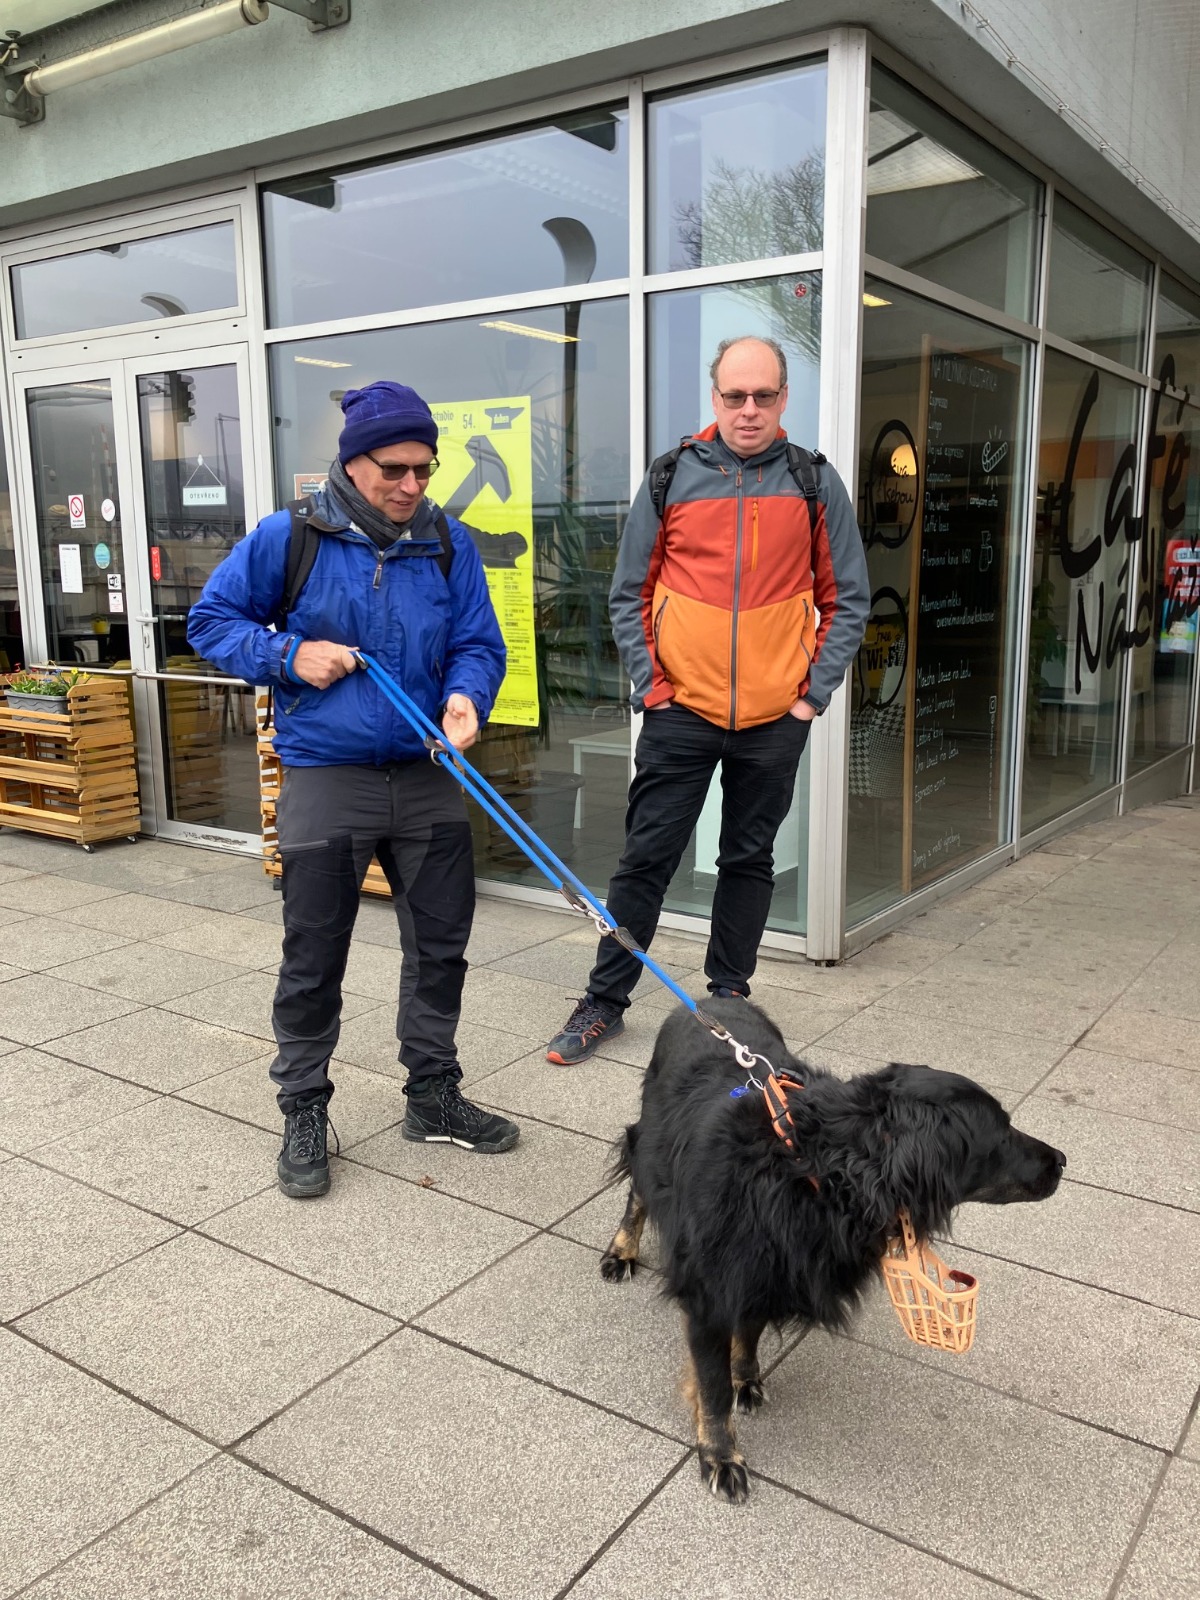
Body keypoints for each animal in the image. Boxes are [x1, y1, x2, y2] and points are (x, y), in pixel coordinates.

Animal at [601, 999, 1066, 1502]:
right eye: (1000, 1133)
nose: (1062, 1160)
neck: (814, 1172)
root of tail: (711, 1000)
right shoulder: (711, 1293)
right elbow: (712, 1386)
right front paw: (720, 1456)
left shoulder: (774, 1269)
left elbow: (748, 1334)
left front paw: (745, 1377)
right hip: (650, 1138)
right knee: (638, 1189)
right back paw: (622, 1250)